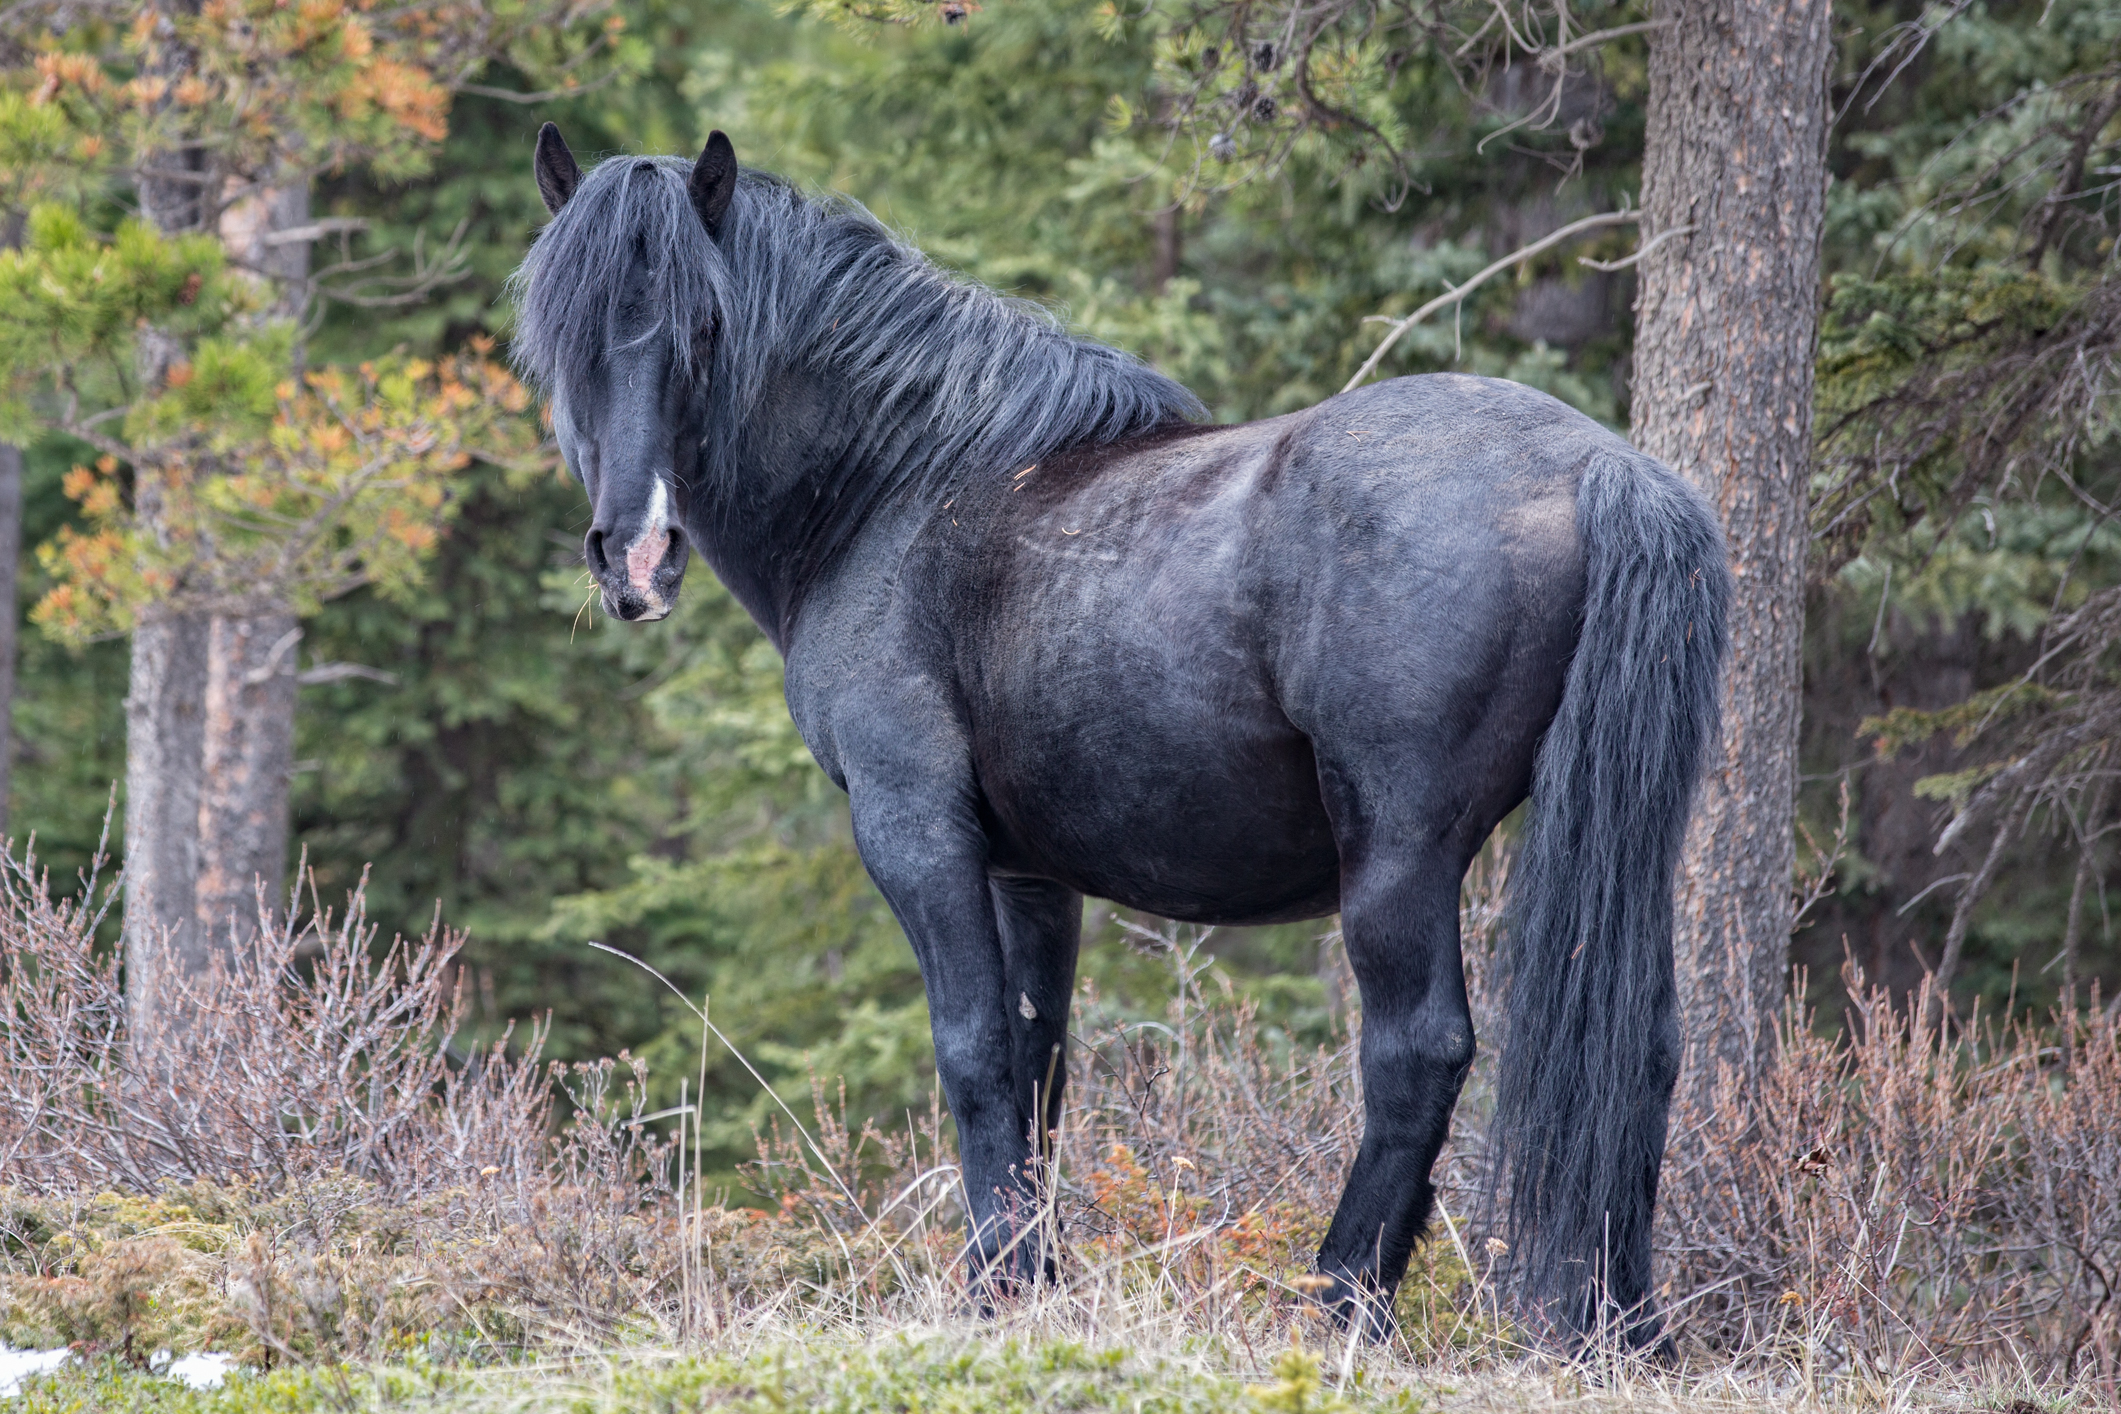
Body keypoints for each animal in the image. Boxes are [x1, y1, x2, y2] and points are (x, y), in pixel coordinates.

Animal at [510, 122, 1730, 1343]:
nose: (633, 555)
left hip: (1400, 848)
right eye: (565, 337)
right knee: (1642, 1041)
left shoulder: (917, 831)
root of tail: (1604, 467)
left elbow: (973, 1050)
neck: (905, 488)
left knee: (1416, 1052)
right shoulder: (1029, 873)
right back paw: (1623, 1322)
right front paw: (1029, 1273)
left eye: (706, 328)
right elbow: (1035, 1057)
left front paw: (999, 1286)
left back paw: (1341, 1301)